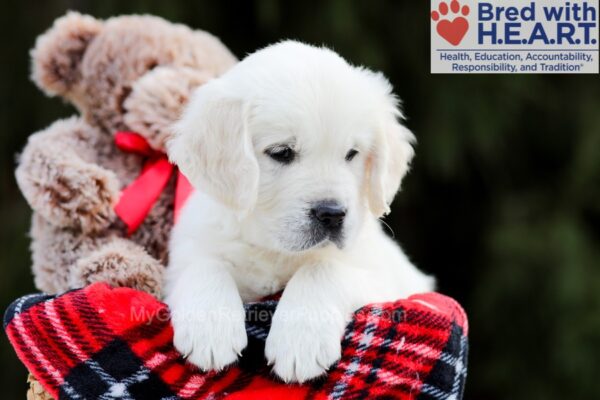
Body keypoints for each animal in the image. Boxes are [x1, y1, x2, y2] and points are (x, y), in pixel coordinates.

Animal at [166, 42, 434, 382]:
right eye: (282, 152)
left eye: (352, 154)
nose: (332, 214)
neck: (275, 250)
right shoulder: (189, 249)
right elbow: (204, 265)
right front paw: (210, 331)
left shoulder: (385, 277)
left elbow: (322, 268)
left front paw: (300, 343)